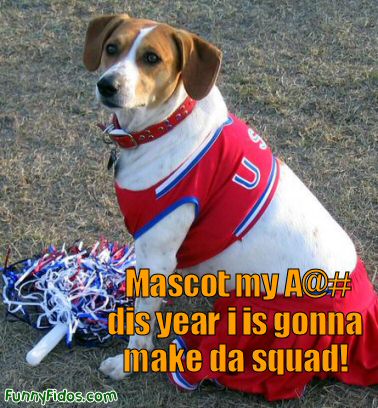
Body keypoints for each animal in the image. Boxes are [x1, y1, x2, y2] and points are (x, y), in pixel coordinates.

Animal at [82, 13, 358, 382]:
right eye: (112, 48)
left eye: (152, 58)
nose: (107, 85)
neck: (163, 125)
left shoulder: (157, 253)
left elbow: (143, 320)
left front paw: (128, 362)